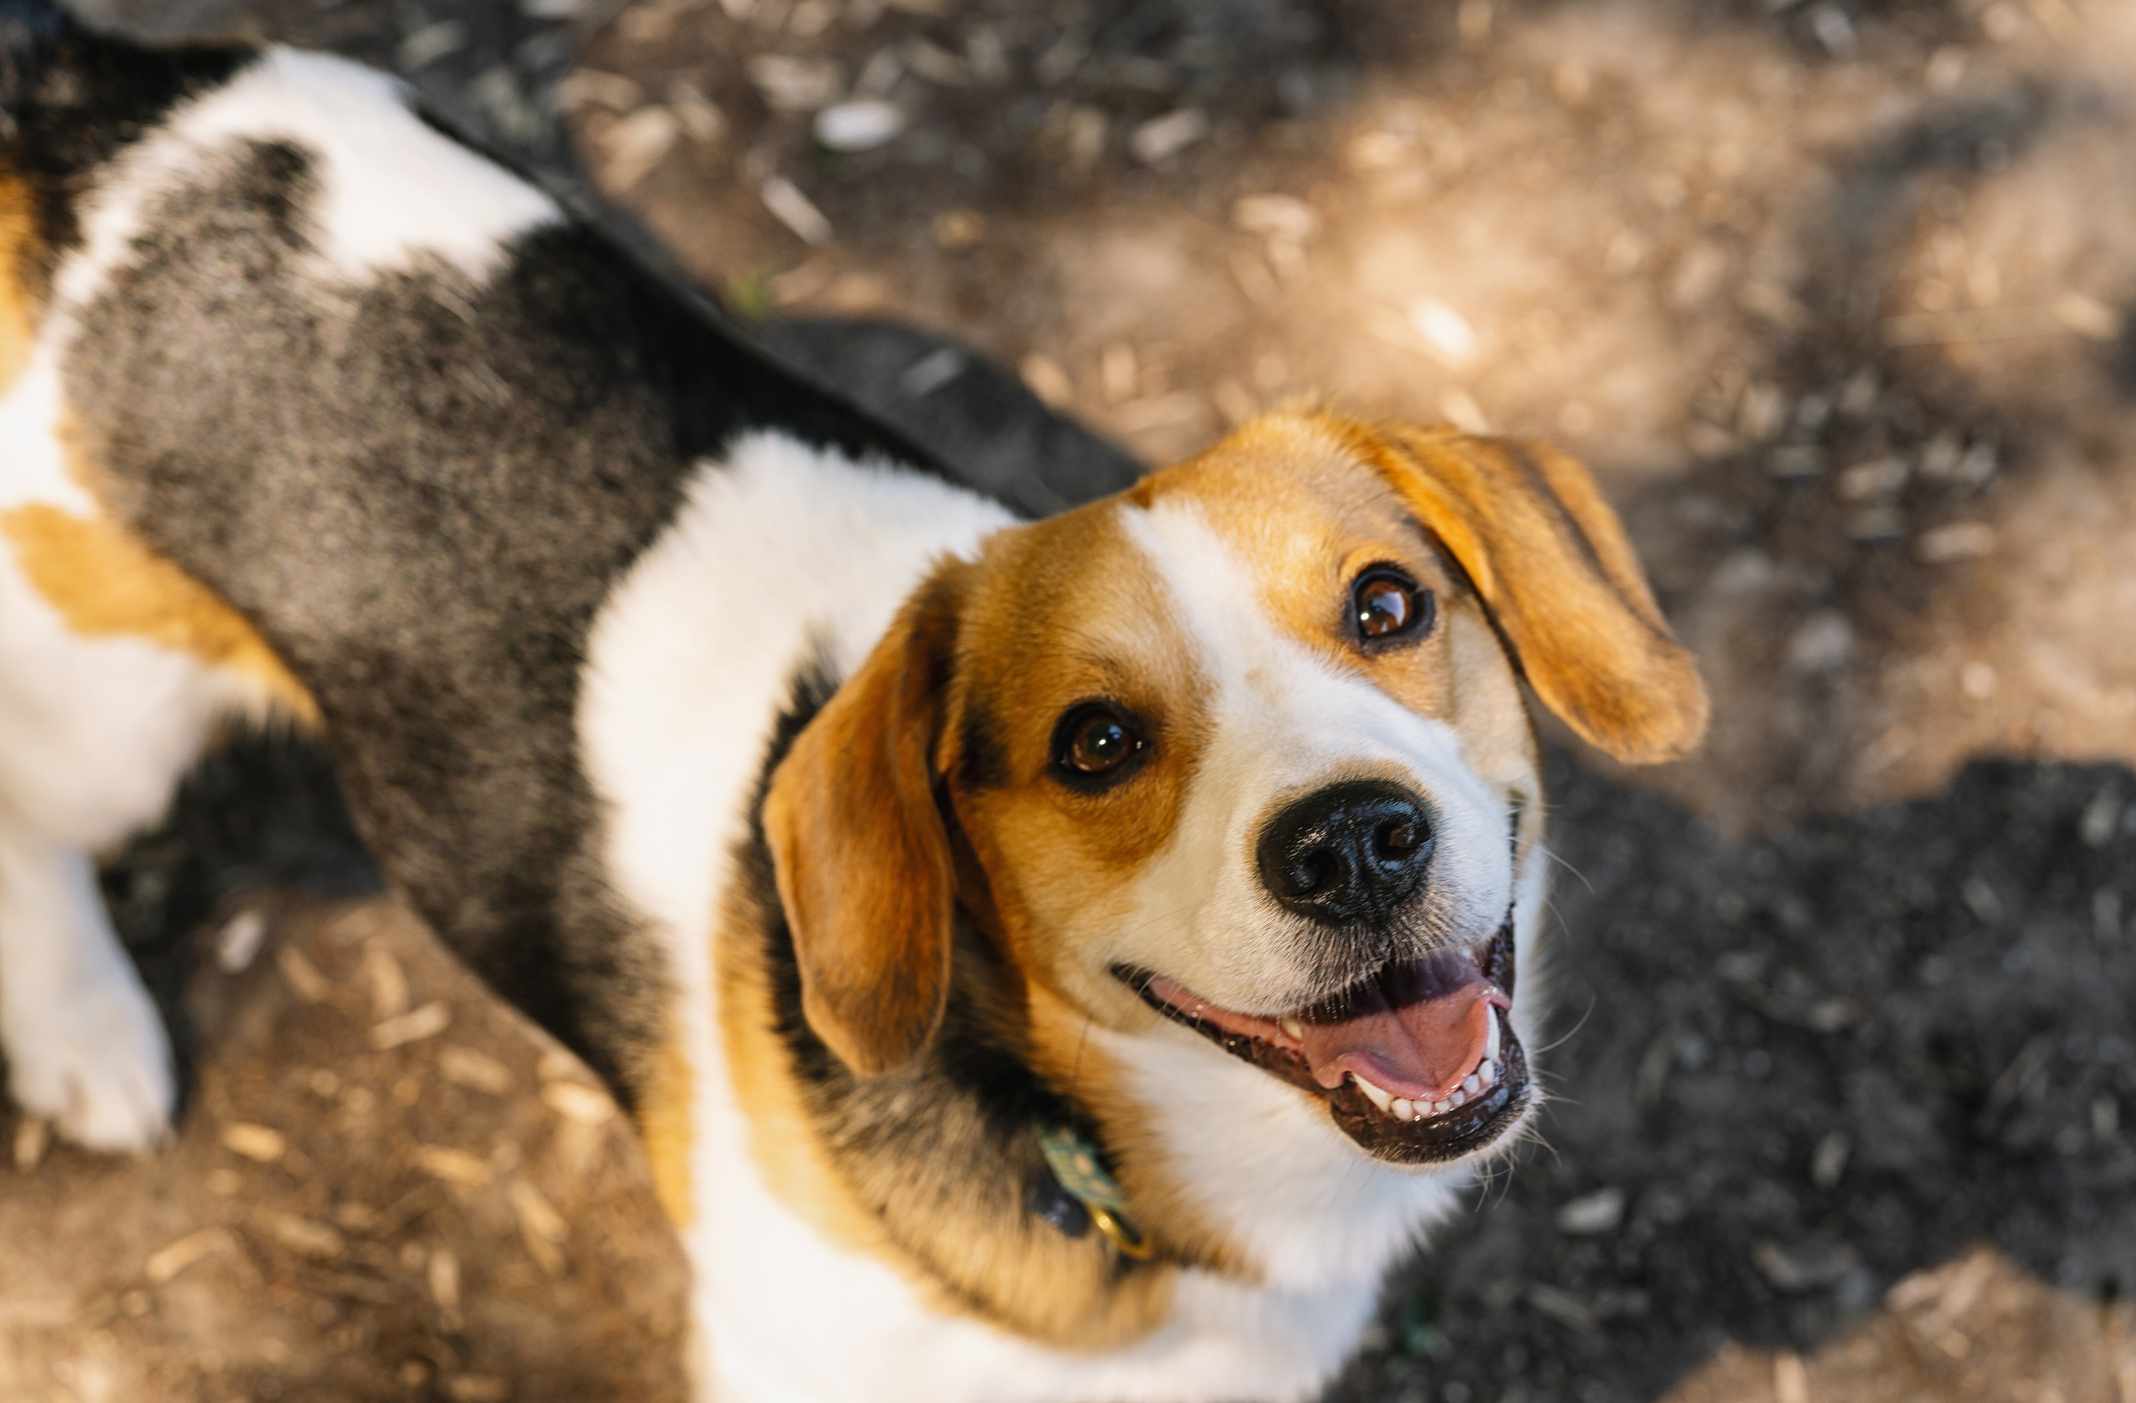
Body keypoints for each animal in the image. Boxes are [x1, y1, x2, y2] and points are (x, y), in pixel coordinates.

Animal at [0, 10, 1708, 1400]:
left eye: (1388, 605)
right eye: (1096, 742)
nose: (1352, 843)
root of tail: (83, 95)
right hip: (108, 694)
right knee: (38, 823)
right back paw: (90, 1038)